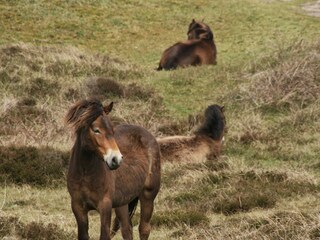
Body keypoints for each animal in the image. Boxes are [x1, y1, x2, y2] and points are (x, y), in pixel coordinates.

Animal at [65, 99, 160, 240]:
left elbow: (104, 235)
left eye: (112, 130)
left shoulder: (105, 206)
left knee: (144, 229)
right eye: (96, 130)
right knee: (127, 230)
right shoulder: (78, 207)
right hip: (122, 203)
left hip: (148, 195)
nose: (116, 159)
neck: (85, 173)